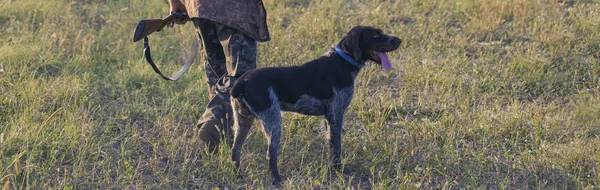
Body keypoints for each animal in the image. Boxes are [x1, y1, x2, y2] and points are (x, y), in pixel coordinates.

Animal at [230, 26, 404, 185]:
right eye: (376, 35)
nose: (399, 40)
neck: (343, 62)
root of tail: (240, 83)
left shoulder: (328, 118)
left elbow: (331, 145)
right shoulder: (336, 114)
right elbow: (336, 146)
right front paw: (338, 169)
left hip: (243, 121)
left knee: (235, 149)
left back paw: (239, 176)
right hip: (273, 121)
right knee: (270, 154)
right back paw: (277, 181)